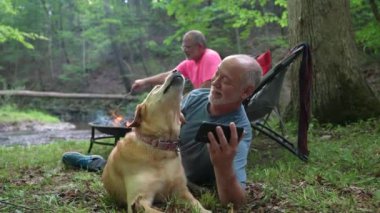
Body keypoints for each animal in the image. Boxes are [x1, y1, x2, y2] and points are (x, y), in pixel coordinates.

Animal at [101, 71, 211, 213]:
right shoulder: (139, 199)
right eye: (156, 87)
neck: (160, 148)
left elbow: (196, 203)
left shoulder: (181, 191)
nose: (176, 70)